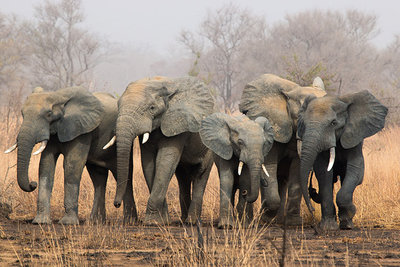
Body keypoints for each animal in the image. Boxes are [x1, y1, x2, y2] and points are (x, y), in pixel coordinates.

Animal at [4, 87, 138, 225]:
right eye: (22, 113)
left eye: (49, 114)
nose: (32, 184)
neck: (58, 96)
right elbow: (46, 165)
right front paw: (41, 222)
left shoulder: (81, 130)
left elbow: (72, 165)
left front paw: (68, 223)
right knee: (98, 178)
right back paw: (95, 222)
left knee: (123, 175)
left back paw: (129, 222)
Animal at [111, 76, 214, 225]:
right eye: (118, 106)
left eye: (152, 108)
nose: (116, 204)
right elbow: (148, 164)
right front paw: (162, 221)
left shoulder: (177, 123)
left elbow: (165, 162)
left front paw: (152, 222)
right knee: (182, 177)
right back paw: (183, 220)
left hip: (210, 145)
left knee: (201, 173)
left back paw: (192, 222)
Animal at [239, 75, 326, 226]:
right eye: (301, 117)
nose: (314, 209)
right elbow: (269, 166)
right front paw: (266, 220)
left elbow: (297, 169)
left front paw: (294, 223)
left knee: (282, 177)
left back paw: (278, 220)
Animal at [296, 91, 388, 231]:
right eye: (304, 124)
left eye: (333, 123)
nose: (312, 209)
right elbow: (323, 172)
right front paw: (328, 227)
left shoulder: (354, 135)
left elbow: (356, 169)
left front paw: (347, 222)